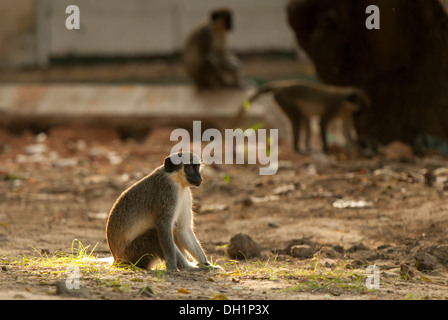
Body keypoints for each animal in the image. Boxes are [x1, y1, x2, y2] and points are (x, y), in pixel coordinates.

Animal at [233, 80, 370, 154]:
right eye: (358, 103)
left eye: (360, 107)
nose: (357, 110)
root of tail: (283, 85)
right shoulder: (334, 105)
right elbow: (322, 123)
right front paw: (326, 150)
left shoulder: (346, 114)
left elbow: (346, 132)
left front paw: (361, 150)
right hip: (284, 99)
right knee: (297, 119)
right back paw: (297, 148)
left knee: (305, 120)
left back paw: (307, 147)